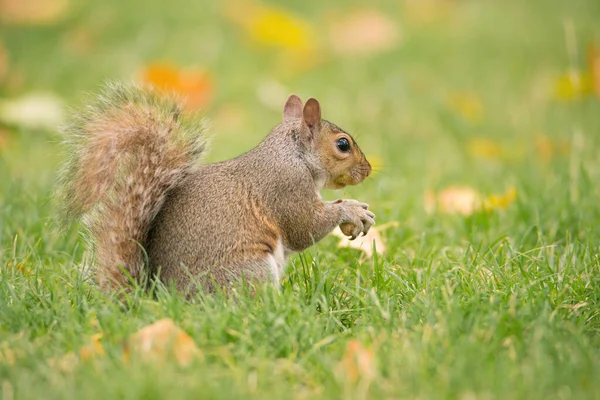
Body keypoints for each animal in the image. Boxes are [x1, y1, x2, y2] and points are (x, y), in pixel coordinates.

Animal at [58, 83, 372, 296]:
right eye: (343, 144)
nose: (368, 170)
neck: (292, 154)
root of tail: (158, 296)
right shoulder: (286, 188)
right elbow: (304, 226)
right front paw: (351, 209)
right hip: (249, 269)